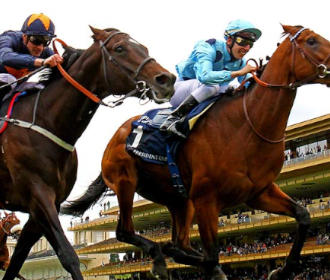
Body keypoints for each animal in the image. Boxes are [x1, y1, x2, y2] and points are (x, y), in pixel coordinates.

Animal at [0, 26, 175, 280]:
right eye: (119, 48)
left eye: (144, 48)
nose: (166, 80)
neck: (45, 121)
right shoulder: (39, 196)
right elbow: (68, 256)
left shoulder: (40, 207)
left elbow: (16, 263)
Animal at [60, 24, 328, 280]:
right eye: (311, 41)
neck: (247, 123)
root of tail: (116, 135)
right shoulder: (207, 200)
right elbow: (211, 256)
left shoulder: (259, 192)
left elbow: (303, 215)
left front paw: (283, 270)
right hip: (126, 182)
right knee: (127, 231)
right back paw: (159, 258)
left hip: (179, 200)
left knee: (180, 244)